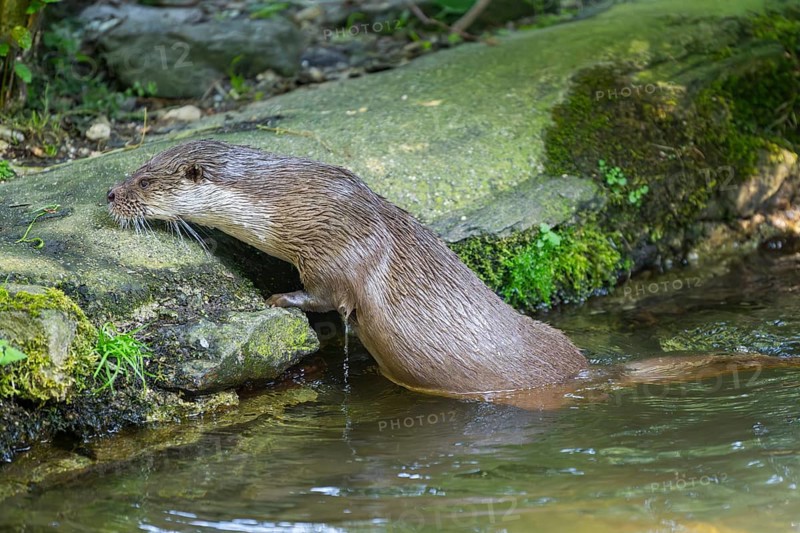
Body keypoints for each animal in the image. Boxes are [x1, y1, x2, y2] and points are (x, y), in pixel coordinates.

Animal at [107, 140, 587, 397]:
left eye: (145, 182)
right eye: (137, 167)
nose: (111, 193)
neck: (294, 206)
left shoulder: (339, 246)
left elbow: (326, 293)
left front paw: (278, 298)